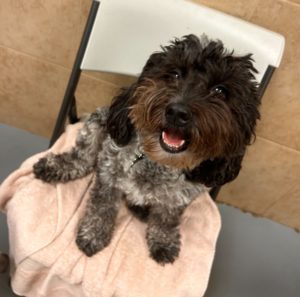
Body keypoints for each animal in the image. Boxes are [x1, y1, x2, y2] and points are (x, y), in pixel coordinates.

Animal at [33, 34, 260, 264]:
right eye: (174, 74)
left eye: (220, 91)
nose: (177, 112)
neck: (159, 163)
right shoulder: (110, 171)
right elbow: (102, 205)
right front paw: (93, 234)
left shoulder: (179, 197)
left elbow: (166, 219)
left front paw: (163, 242)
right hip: (99, 122)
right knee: (84, 157)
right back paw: (55, 166)